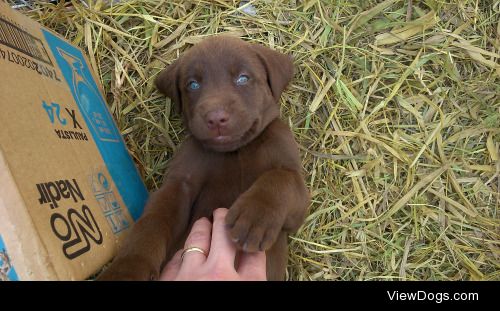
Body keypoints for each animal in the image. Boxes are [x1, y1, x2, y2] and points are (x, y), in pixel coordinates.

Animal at [97, 35, 308, 282]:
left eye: (243, 78)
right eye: (192, 84)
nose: (216, 118)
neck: (234, 152)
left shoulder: (297, 197)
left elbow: (280, 178)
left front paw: (255, 216)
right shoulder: (179, 184)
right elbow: (152, 221)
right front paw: (128, 267)